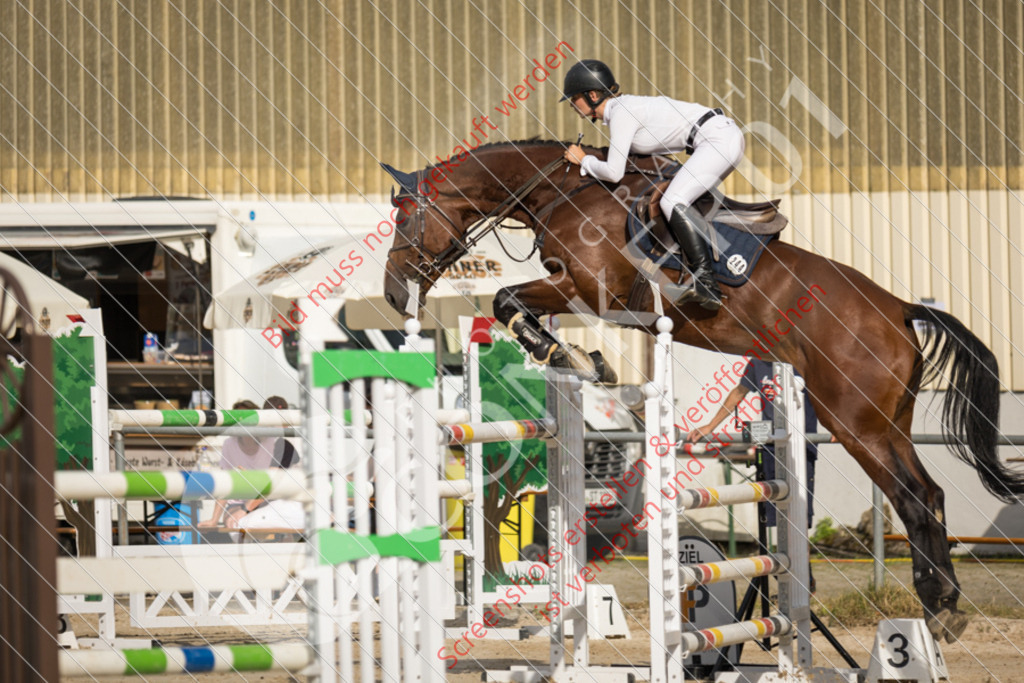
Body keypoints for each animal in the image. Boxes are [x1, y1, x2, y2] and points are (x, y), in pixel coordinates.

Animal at [382, 139, 1024, 643]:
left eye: (405, 219)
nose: (392, 294)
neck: (564, 191)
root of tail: (899, 309)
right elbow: (512, 304)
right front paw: (578, 356)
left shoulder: (587, 287)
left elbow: (505, 298)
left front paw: (570, 355)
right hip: (887, 421)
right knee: (930, 493)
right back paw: (943, 605)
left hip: (855, 421)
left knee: (912, 497)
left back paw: (938, 609)